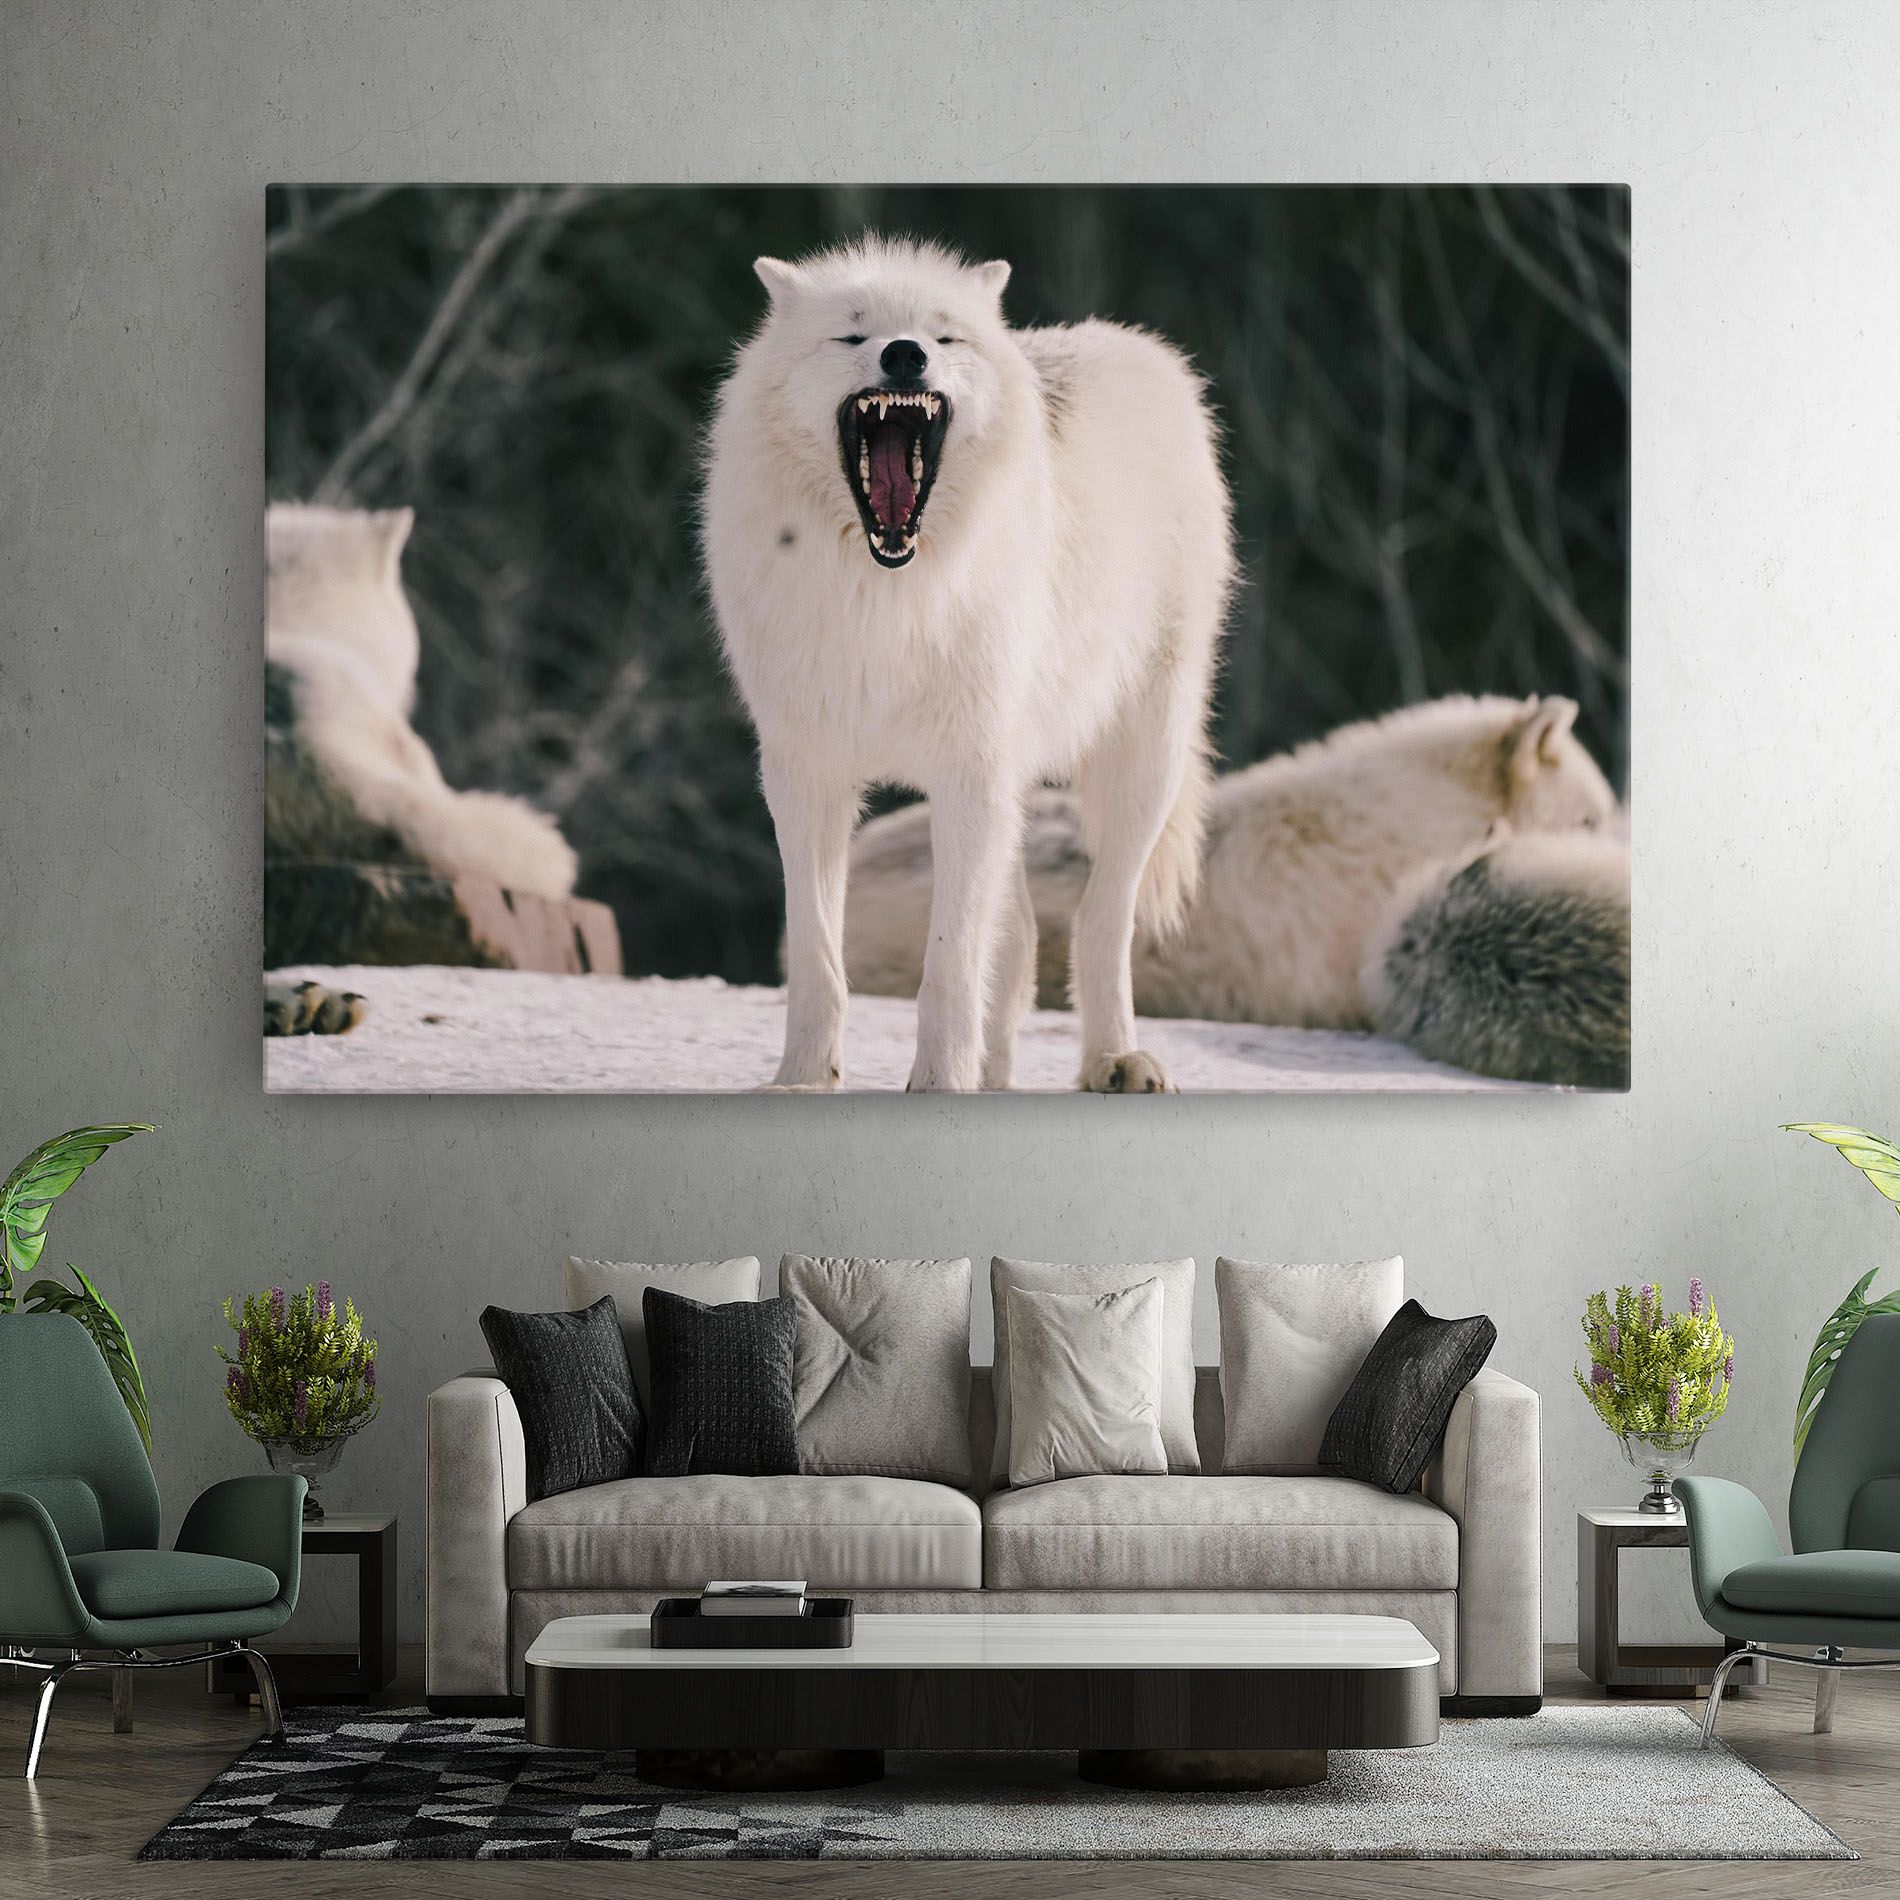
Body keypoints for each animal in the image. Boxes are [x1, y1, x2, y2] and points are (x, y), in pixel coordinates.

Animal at [703, 237, 1233, 1092]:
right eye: (853, 335)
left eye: (944, 337)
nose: (905, 354)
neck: (886, 597)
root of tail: (1137, 347)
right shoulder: (804, 774)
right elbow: (818, 955)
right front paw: (804, 1079)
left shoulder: (967, 774)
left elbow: (949, 963)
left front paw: (937, 1083)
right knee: (1017, 941)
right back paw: (999, 1075)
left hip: (1140, 761)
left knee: (1100, 918)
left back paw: (1115, 1058)